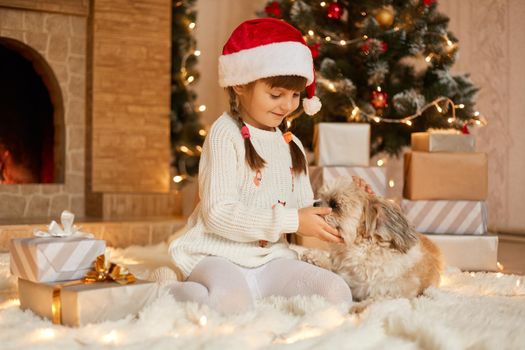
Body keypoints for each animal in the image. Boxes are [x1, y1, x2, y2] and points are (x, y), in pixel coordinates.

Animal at [298, 178, 442, 304]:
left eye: (335, 205)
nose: (315, 203)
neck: (361, 250)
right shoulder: (346, 274)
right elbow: (334, 266)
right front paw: (315, 257)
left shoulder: (395, 292)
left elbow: (376, 301)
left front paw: (357, 309)